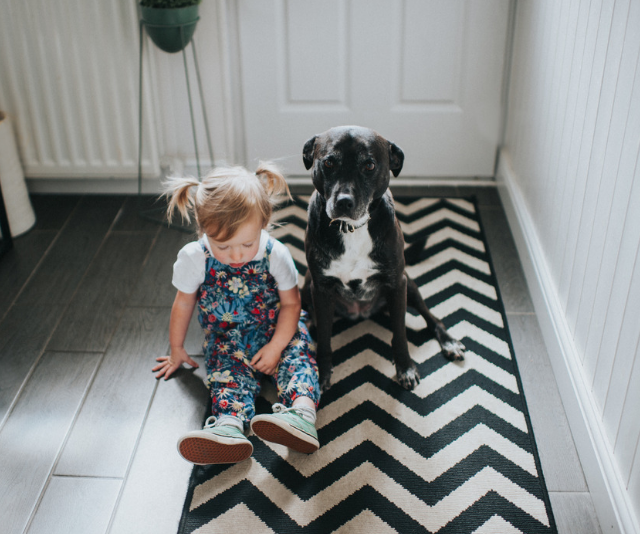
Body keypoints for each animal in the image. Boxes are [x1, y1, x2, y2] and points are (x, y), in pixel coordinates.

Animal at [300, 126, 464, 394]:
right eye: (329, 162)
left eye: (369, 165)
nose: (343, 202)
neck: (352, 229)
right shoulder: (320, 290)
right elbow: (324, 337)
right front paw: (322, 372)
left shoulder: (397, 284)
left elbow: (400, 333)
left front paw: (405, 368)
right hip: (305, 289)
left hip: (410, 285)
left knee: (431, 317)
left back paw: (449, 342)